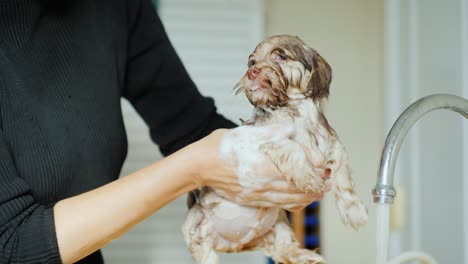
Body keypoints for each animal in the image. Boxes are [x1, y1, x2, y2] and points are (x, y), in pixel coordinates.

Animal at [181, 35, 368, 264]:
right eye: (252, 62)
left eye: (281, 56)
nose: (252, 72)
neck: (294, 111)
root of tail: (235, 245)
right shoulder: (257, 140)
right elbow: (292, 147)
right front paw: (307, 176)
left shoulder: (334, 144)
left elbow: (344, 178)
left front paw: (354, 211)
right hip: (196, 231)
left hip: (280, 227)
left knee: (284, 251)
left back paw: (309, 257)